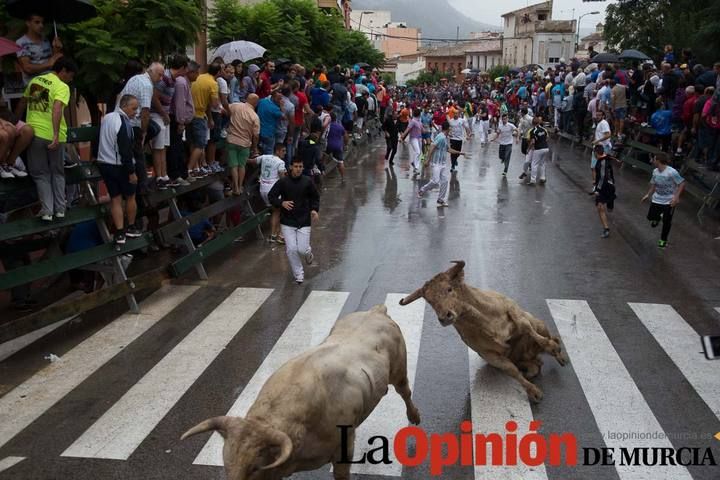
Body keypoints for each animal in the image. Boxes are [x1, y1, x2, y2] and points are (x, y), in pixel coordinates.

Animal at [402, 260, 564, 400]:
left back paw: (559, 353)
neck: (483, 319)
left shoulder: (513, 308)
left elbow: (526, 327)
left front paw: (552, 347)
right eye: (429, 301)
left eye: (449, 288)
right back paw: (532, 369)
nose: (444, 317)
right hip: (520, 358)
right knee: (532, 365)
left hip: (538, 323)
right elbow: (511, 370)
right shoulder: (488, 354)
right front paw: (533, 391)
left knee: (547, 335)